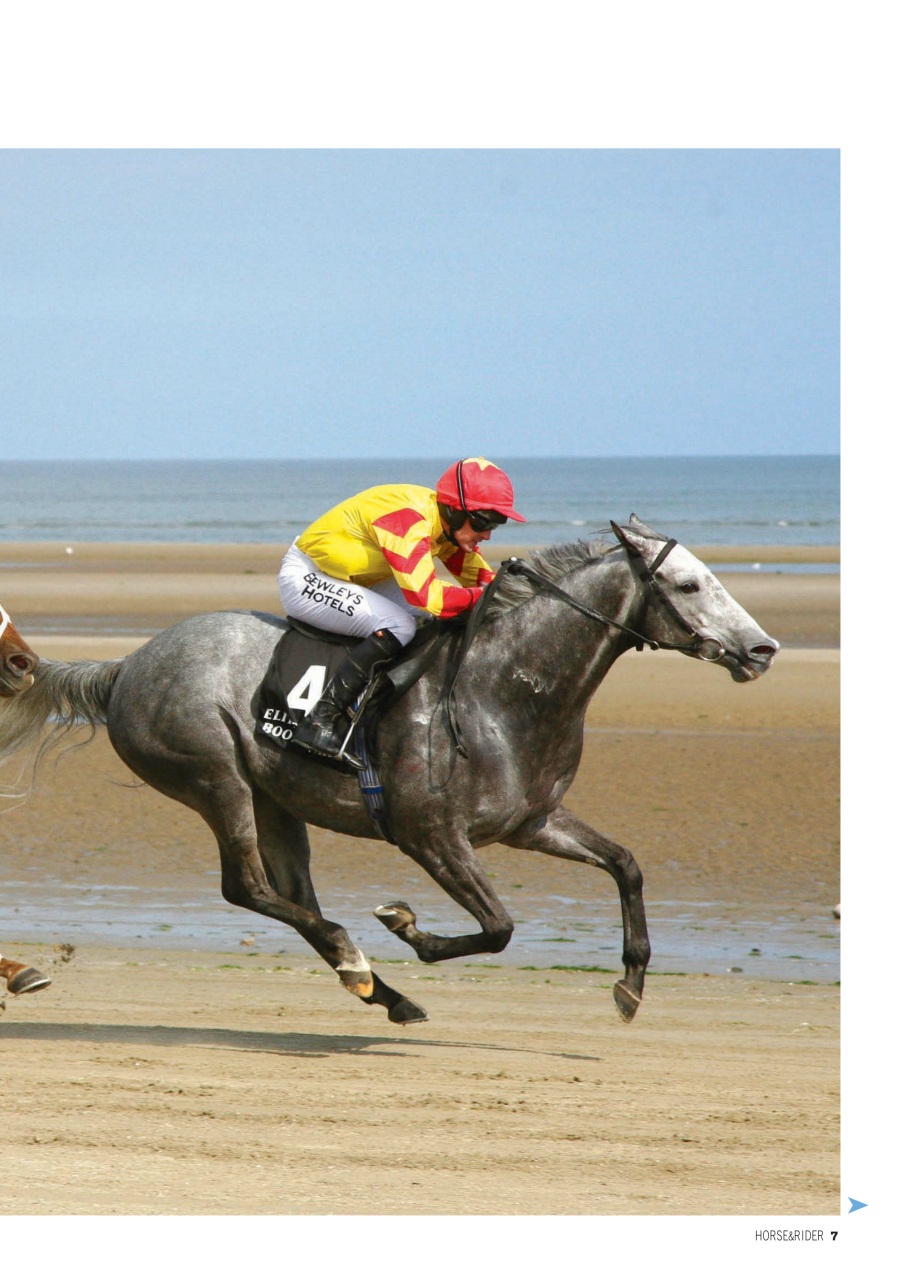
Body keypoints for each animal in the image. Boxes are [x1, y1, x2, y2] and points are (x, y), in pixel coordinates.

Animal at [0, 519, 778, 1025]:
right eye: (689, 583)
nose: (762, 649)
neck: (502, 692)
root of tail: (127, 665)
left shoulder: (531, 822)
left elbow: (625, 865)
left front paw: (631, 985)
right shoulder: (429, 835)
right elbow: (498, 927)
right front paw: (406, 926)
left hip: (275, 798)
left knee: (289, 892)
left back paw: (380, 989)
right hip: (217, 779)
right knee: (245, 886)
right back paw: (357, 959)